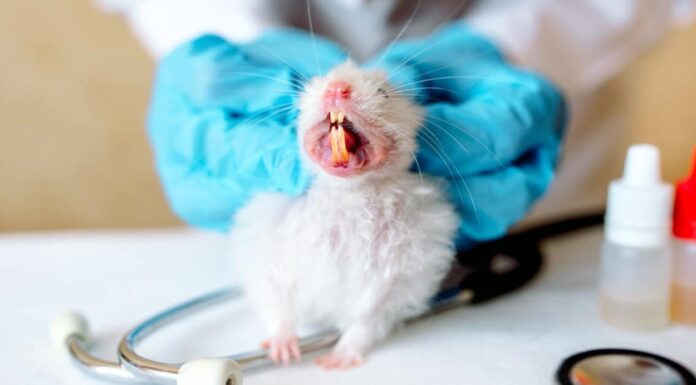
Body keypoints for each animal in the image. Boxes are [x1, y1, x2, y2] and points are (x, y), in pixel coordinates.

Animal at [228, 61, 460, 368]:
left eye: (383, 92)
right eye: (316, 85)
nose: (337, 88)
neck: (350, 193)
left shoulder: (404, 276)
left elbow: (367, 320)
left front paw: (334, 362)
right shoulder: (265, 247)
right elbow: (276, 302)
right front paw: (283, 352)